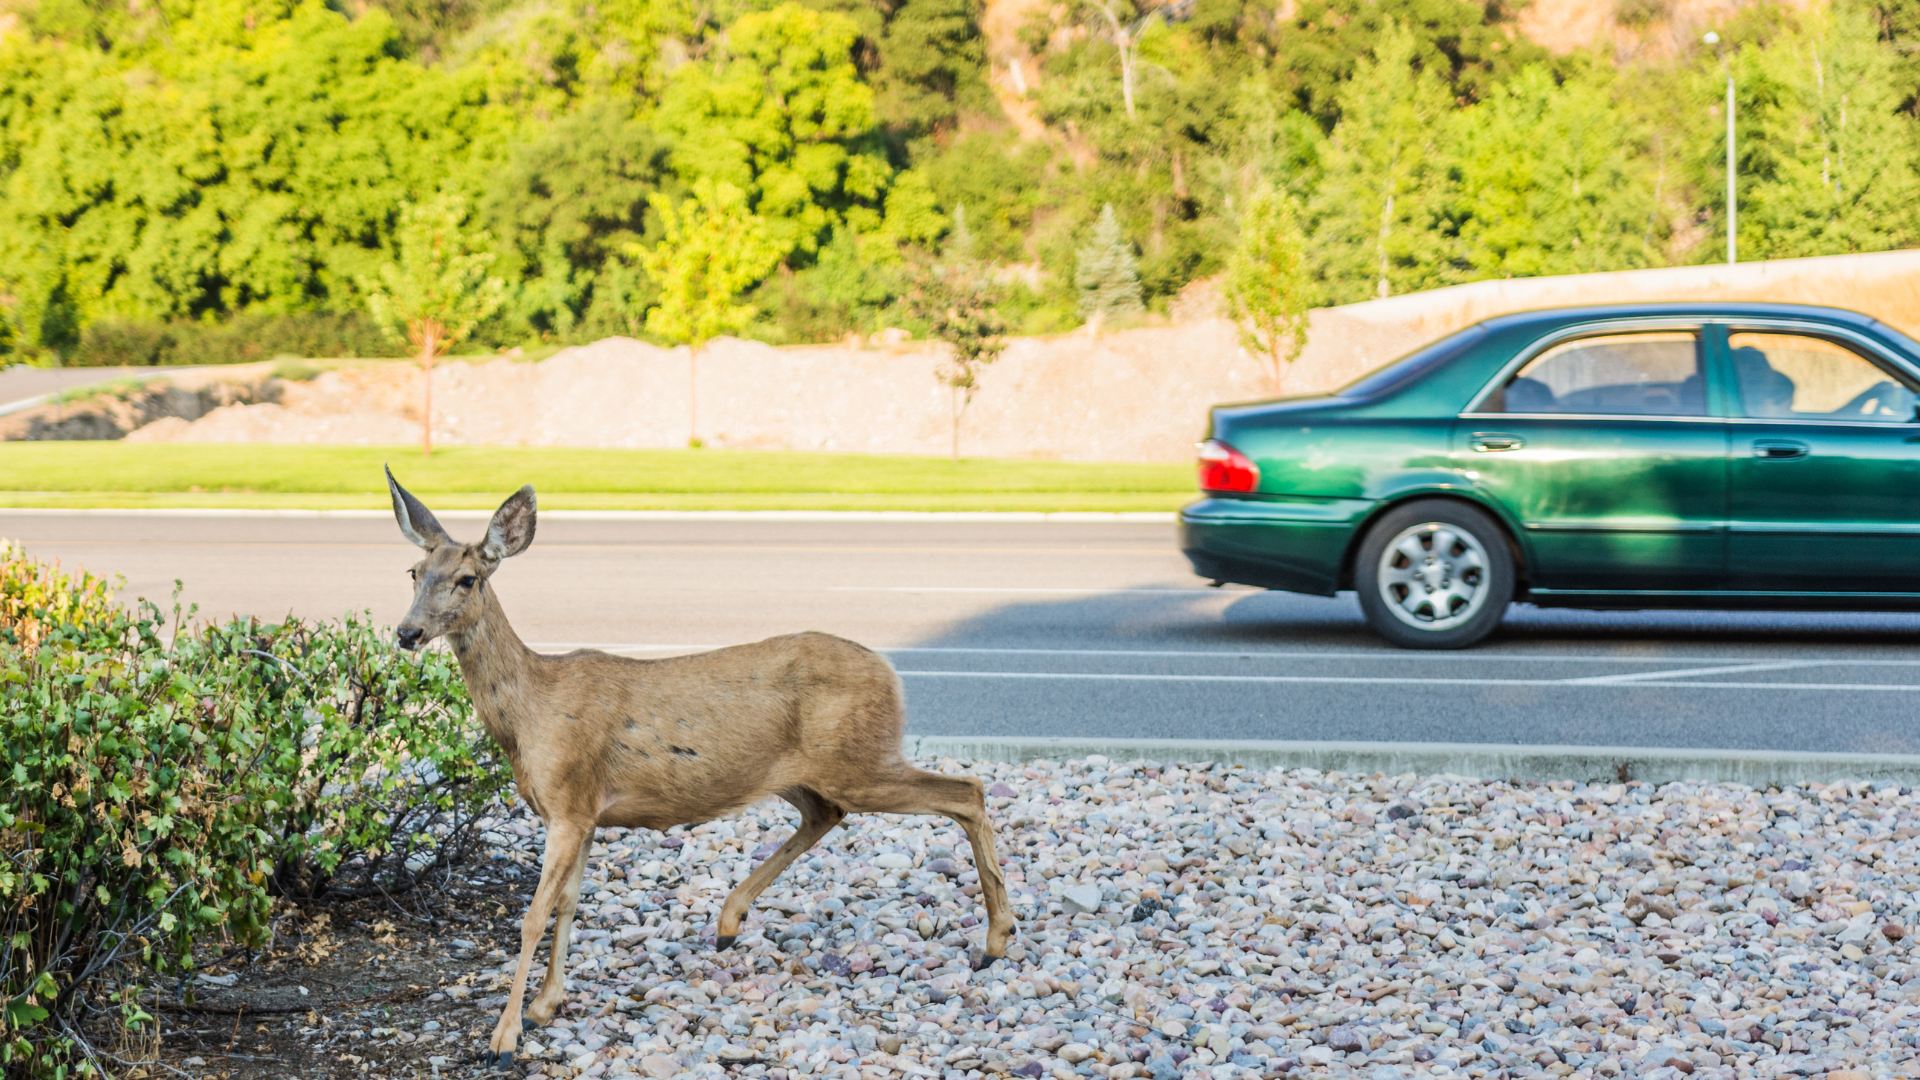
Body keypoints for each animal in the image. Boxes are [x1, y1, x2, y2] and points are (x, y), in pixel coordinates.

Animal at [384, 466, 1029, 1060]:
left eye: (467, 578)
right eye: (414, 572)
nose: (407, 632)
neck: (529, 713)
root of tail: (891, 675)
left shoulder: (568, 801)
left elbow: (534, 915)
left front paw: (504, 1035)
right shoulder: (583, 811)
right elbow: (568, 903)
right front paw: (547, 1004)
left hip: (861, 761)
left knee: (966, 791)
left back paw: (995, 940)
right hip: (803, 772)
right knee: (828, 814)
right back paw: (728, 923)